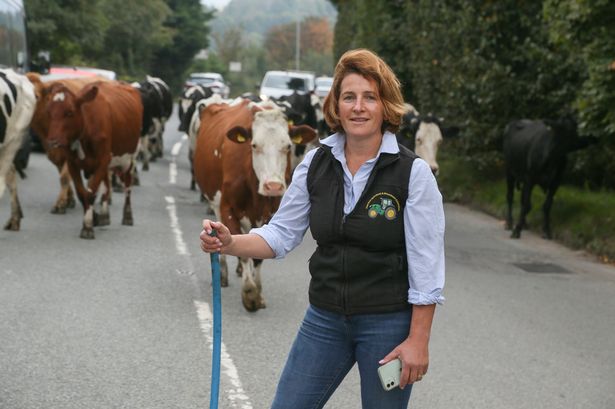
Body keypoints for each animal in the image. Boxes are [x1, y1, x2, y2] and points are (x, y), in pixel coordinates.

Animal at [45, 80, 143, 237]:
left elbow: (90, 194)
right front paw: (93, 218)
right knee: (107, 185)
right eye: (48, 112)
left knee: (128, 186)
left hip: (130, 159)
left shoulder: (102, 161)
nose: (52, 142)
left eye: (69, 112)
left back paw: (128, 216)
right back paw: (104, 215)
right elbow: (83, 193)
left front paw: (88, 227)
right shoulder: (73, 164)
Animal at [194, 100, 318, 310]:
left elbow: (259, 254)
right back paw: (223, 273)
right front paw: (249, 293)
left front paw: (258, 292)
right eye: (254, 145)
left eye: (287, 146)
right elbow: (242, 252)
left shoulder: (272, 213)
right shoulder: (228, 208)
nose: (273, 186)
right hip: (215, 202)